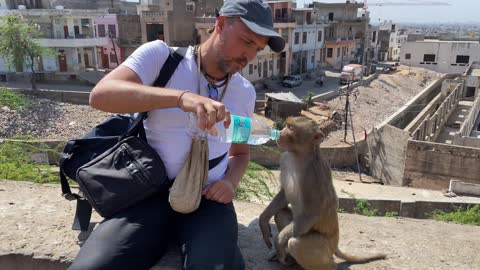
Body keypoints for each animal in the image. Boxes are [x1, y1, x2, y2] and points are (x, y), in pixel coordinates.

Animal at [258, 116, 386, 270]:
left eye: (291, 128)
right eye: (287, 126)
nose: (281, 132)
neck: (299, 155)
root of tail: (335, 244)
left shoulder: (312, 176)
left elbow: (312, 213)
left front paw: (279, 242)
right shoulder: (285, 159)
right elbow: (283, 195)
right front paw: (263, 221)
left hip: (326, 247)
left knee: (295, 243)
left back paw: (329, 265)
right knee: (281, 213)